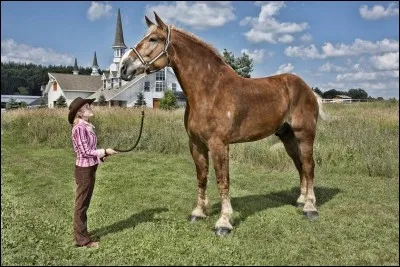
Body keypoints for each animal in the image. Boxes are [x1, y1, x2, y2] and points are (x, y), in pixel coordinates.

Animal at [118, 12, 328, 237]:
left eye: (153, 39)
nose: (123, 67)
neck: (210, 90)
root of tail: (308, 89)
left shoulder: (219, 144)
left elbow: (222, 180)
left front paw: (224, 222)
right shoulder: (196, 144)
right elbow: (202, 177)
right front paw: (198, 212)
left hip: (305, 134)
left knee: (309, 165)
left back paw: (310, 207)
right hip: (287, 136)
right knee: (300, 165)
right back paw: (301, 200)